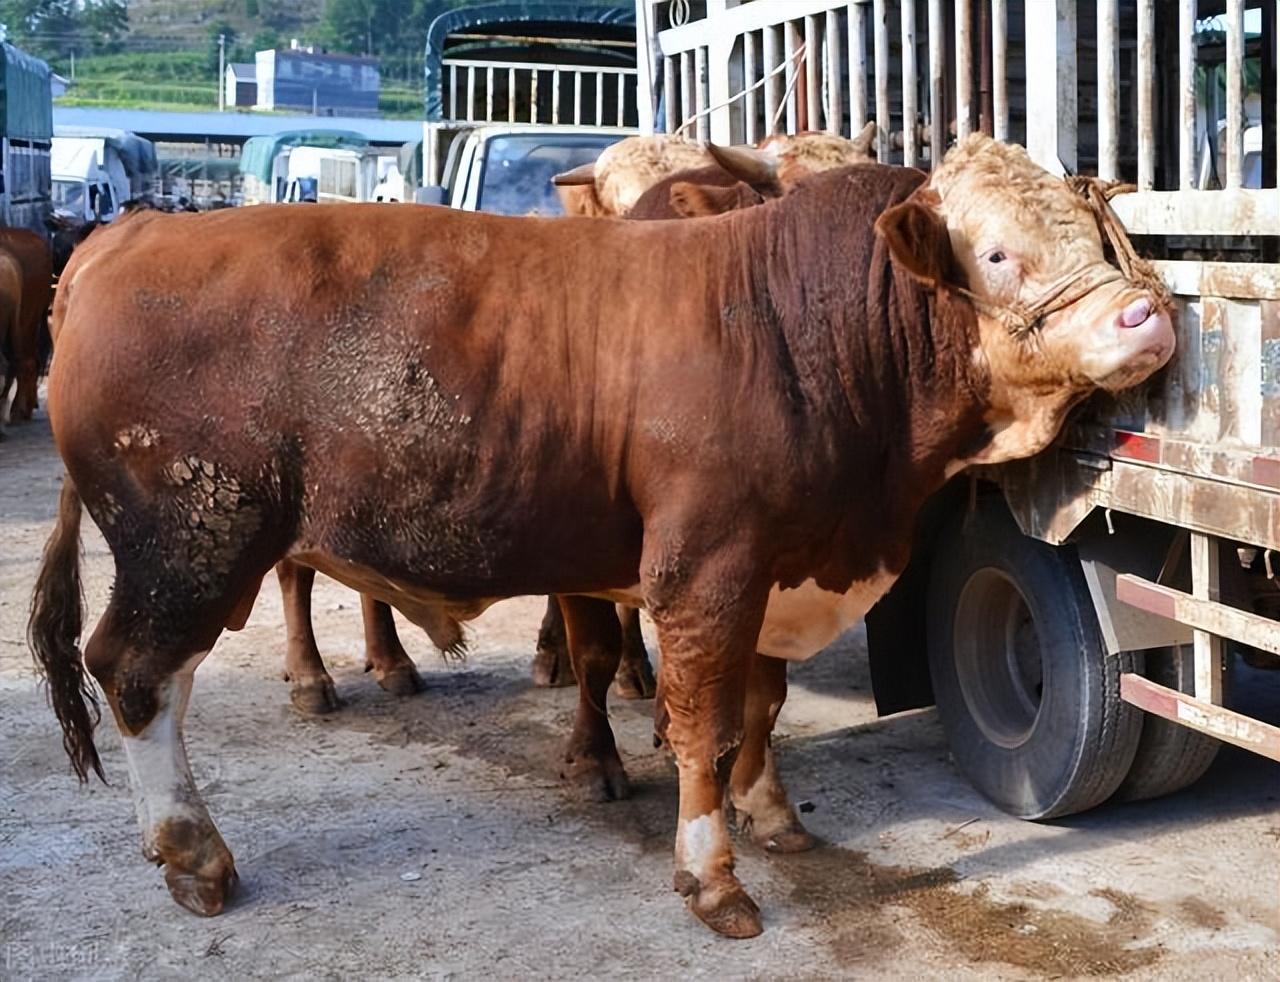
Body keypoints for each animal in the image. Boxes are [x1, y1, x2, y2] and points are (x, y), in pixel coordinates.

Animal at [30, 136, 1172, 937]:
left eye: (1089, 231)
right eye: (997, 252)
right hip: (191, 539)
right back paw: (194, 852)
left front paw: (771, 812)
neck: (799, 320)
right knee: (135, 672)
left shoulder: (780, 562)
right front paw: (712, 876)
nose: (1147, 317)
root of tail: (127, 237)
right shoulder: (705, 567)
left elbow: (759, 705)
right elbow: (699, 722)